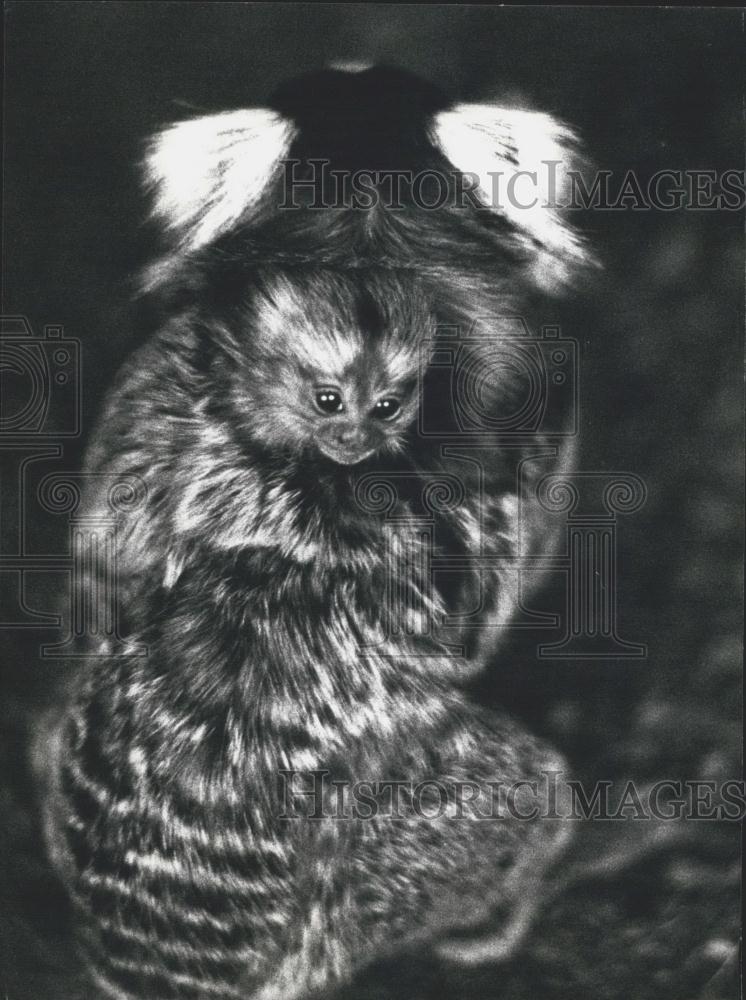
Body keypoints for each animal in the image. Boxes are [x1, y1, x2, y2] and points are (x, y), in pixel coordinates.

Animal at [38, 66, 594, 999]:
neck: (365, 239)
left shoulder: (152, 383)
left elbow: (101, 570)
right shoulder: (538, 398)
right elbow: (480, 622)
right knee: (533, 795)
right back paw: (505, 911)